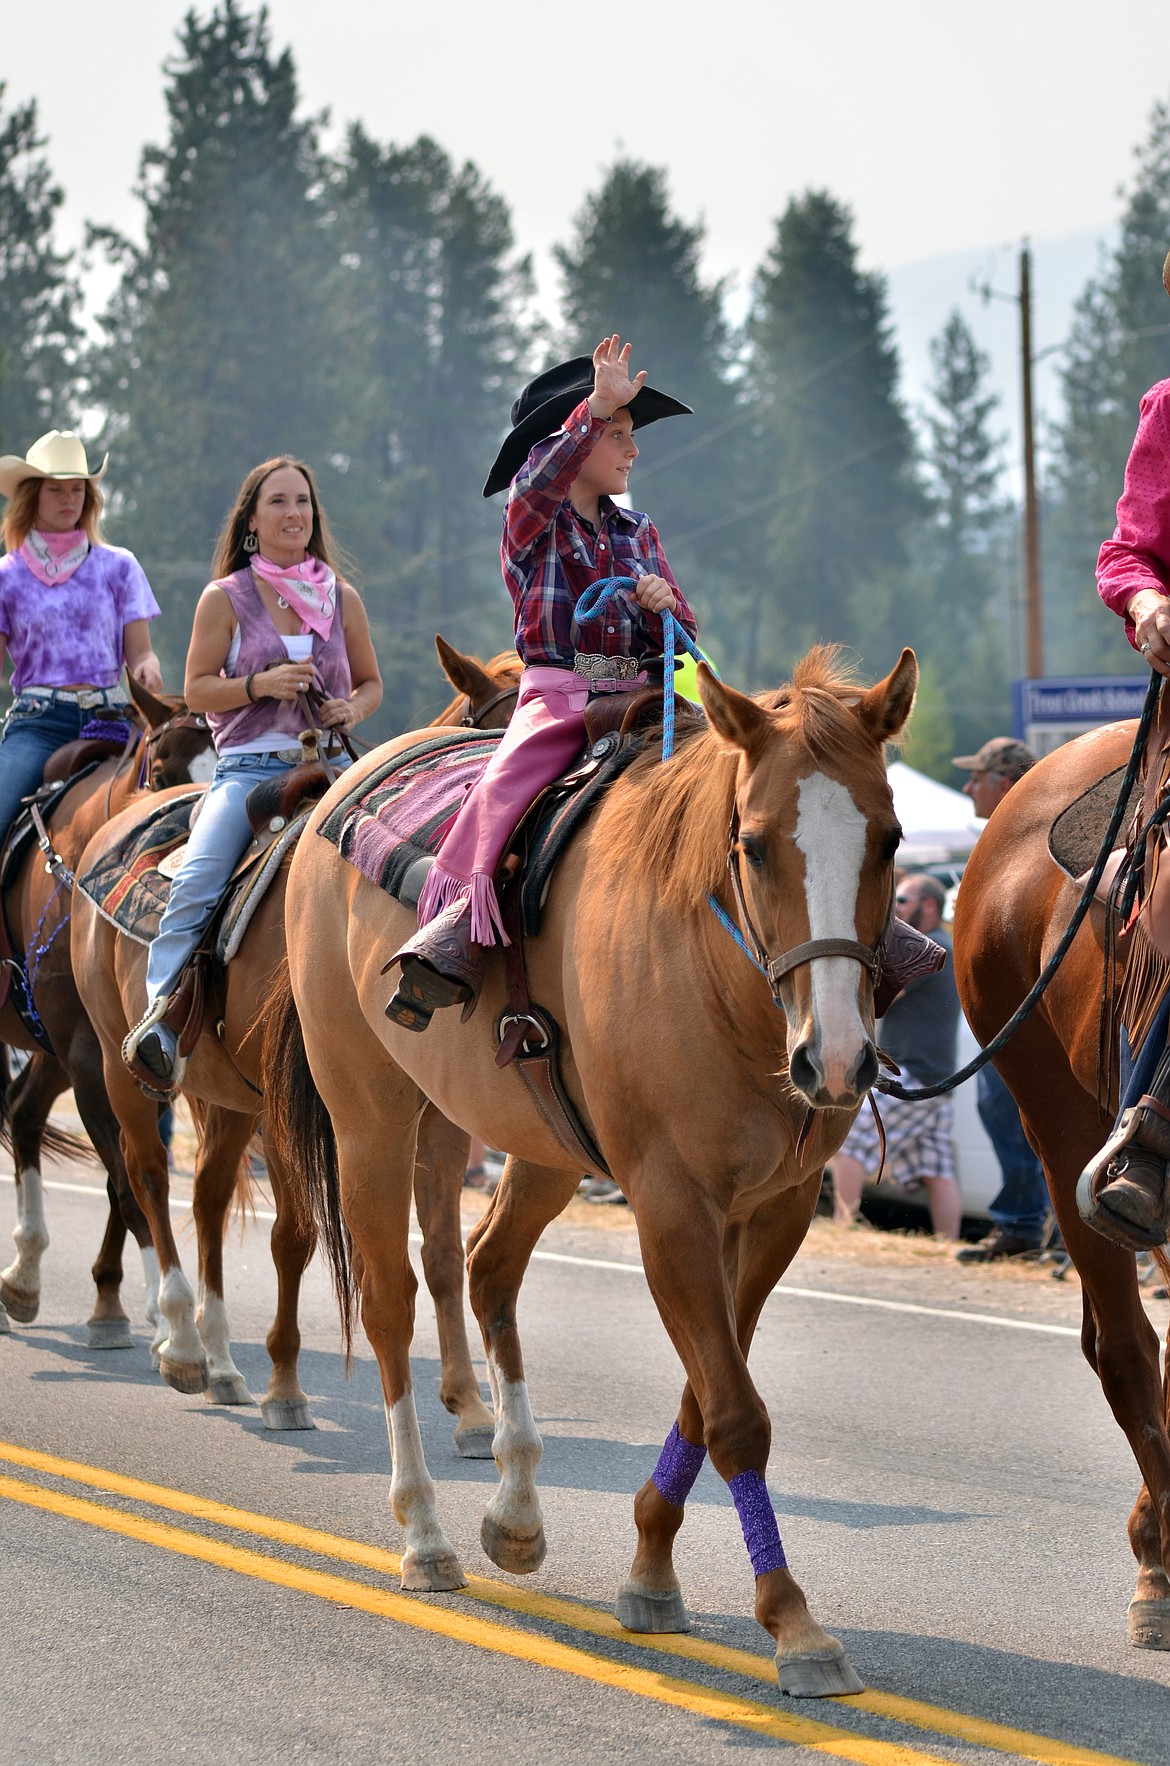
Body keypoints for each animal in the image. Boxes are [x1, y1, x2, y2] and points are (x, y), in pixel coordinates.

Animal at [0, 681, 215, 1342]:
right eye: (163, 771)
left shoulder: (122, 1056)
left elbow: (132, 1173)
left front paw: (118, 1300)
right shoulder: (89, 1060)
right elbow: (125, 1178)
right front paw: (161, 1313)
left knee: (23, 1112)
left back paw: (24, 1276)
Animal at [66, 642, 518, 1441]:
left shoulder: (435, 1119)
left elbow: (439, 1252)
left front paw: (468, 1407)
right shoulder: (299, 1108)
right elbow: (295, 1236)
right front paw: (285, 1387)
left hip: (227, 1099)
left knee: (208, 1198)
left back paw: (219, 1361)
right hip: (128, 1071)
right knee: (147, 1175)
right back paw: (182, 1344)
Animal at [268, 649, 924, 1695]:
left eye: (892, 837)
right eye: (754, 845)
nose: (836, 1060)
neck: (718, 980)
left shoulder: (774, 1212)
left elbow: (711, 1390)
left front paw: (652, 1570)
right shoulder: (670, 1204)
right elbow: (734, 1411)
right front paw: (791, 1621)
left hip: (540, 1151)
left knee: (489, 1270)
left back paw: (516, 1510)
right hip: (372, 1119)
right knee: (391, 1304)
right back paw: (424, 1534)